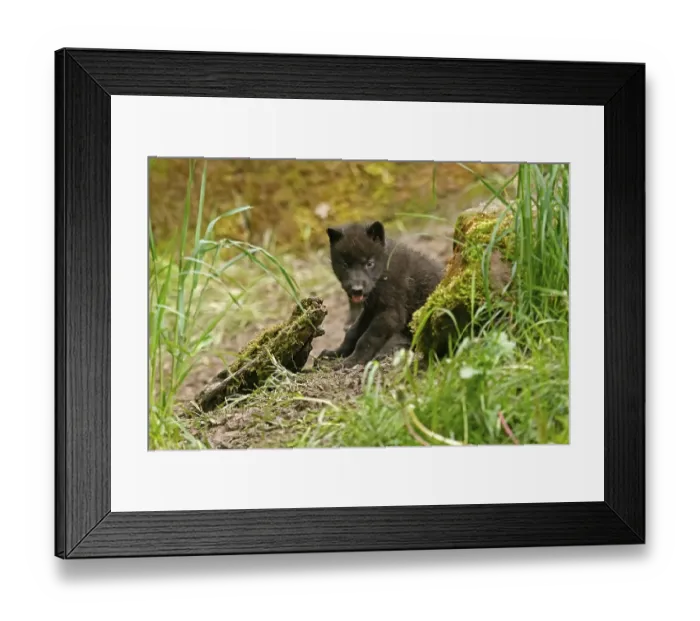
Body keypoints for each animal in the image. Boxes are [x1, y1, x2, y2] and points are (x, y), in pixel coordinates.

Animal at [318, 220, 444, 368]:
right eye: (345, 265)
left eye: (369, 263)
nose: (356, 289)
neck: (382, 274)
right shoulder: (370, 309)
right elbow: (353, 332)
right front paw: (335, 353)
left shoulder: (391, 312)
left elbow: (367, 338)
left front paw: (354, 360)